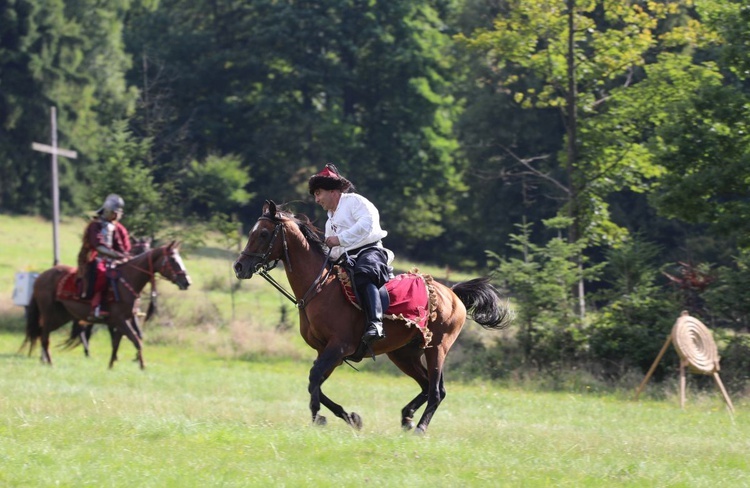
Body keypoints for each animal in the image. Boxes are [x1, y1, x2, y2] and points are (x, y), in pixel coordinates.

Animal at [21, 242, 191, 368]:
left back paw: (44, 359)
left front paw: (111, 366)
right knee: (44, 336)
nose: (186, 282)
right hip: (50, 314)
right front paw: (143, 366)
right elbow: (136, 340)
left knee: (42, 333)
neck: (127, 280)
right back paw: (49, 362)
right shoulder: (120, 320)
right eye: (173, 260)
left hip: (62, 316)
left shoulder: (124, 320)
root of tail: (40, 277)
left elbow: (118, 343)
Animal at [234, 201, 516, 434]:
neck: (320, 287)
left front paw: (319, 417)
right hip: (404, 354)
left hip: (437, 348)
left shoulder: (338, 348)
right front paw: (350, 417)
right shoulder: (327, 351)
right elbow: (315, 382)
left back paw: (420, 427)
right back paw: (407, 417)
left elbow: (314, 380)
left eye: (263, 233)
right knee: (427, 386)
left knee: (437, 391)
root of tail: (453, 293)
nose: (239, 266)